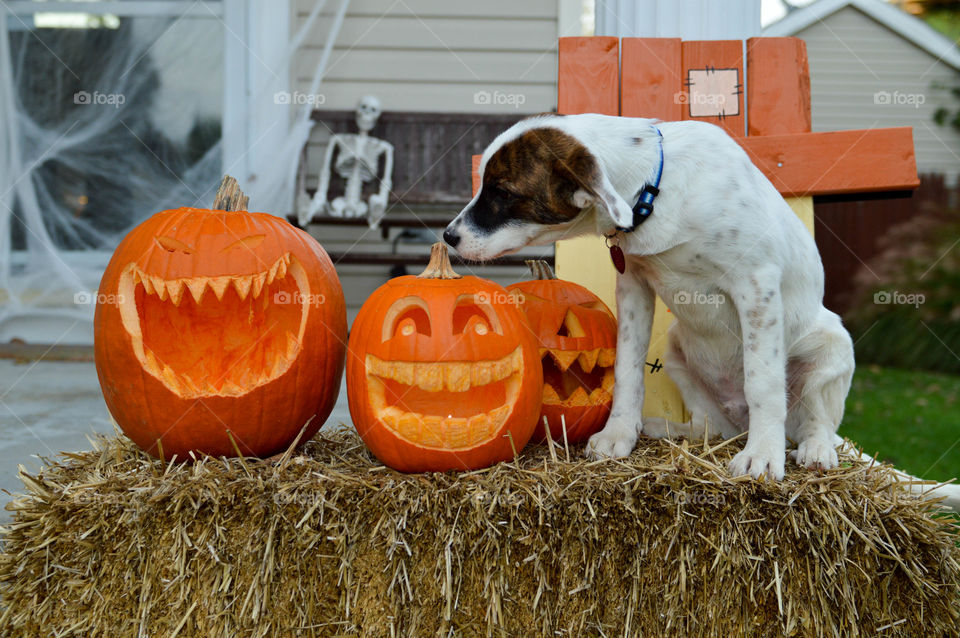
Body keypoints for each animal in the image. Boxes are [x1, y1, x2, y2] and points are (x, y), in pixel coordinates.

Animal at [446, 112, 956, 508]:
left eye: (502, 192)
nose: (448, 236)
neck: (654, 193)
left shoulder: (756, 285)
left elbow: (763, 381)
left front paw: (763, 457)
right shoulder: (633, 285)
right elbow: (627, 370)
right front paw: (620, 433)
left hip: (832, 343)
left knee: (817, 420)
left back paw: (811, 450)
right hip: (678, 350)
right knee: (711, 427)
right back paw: (667, 429)